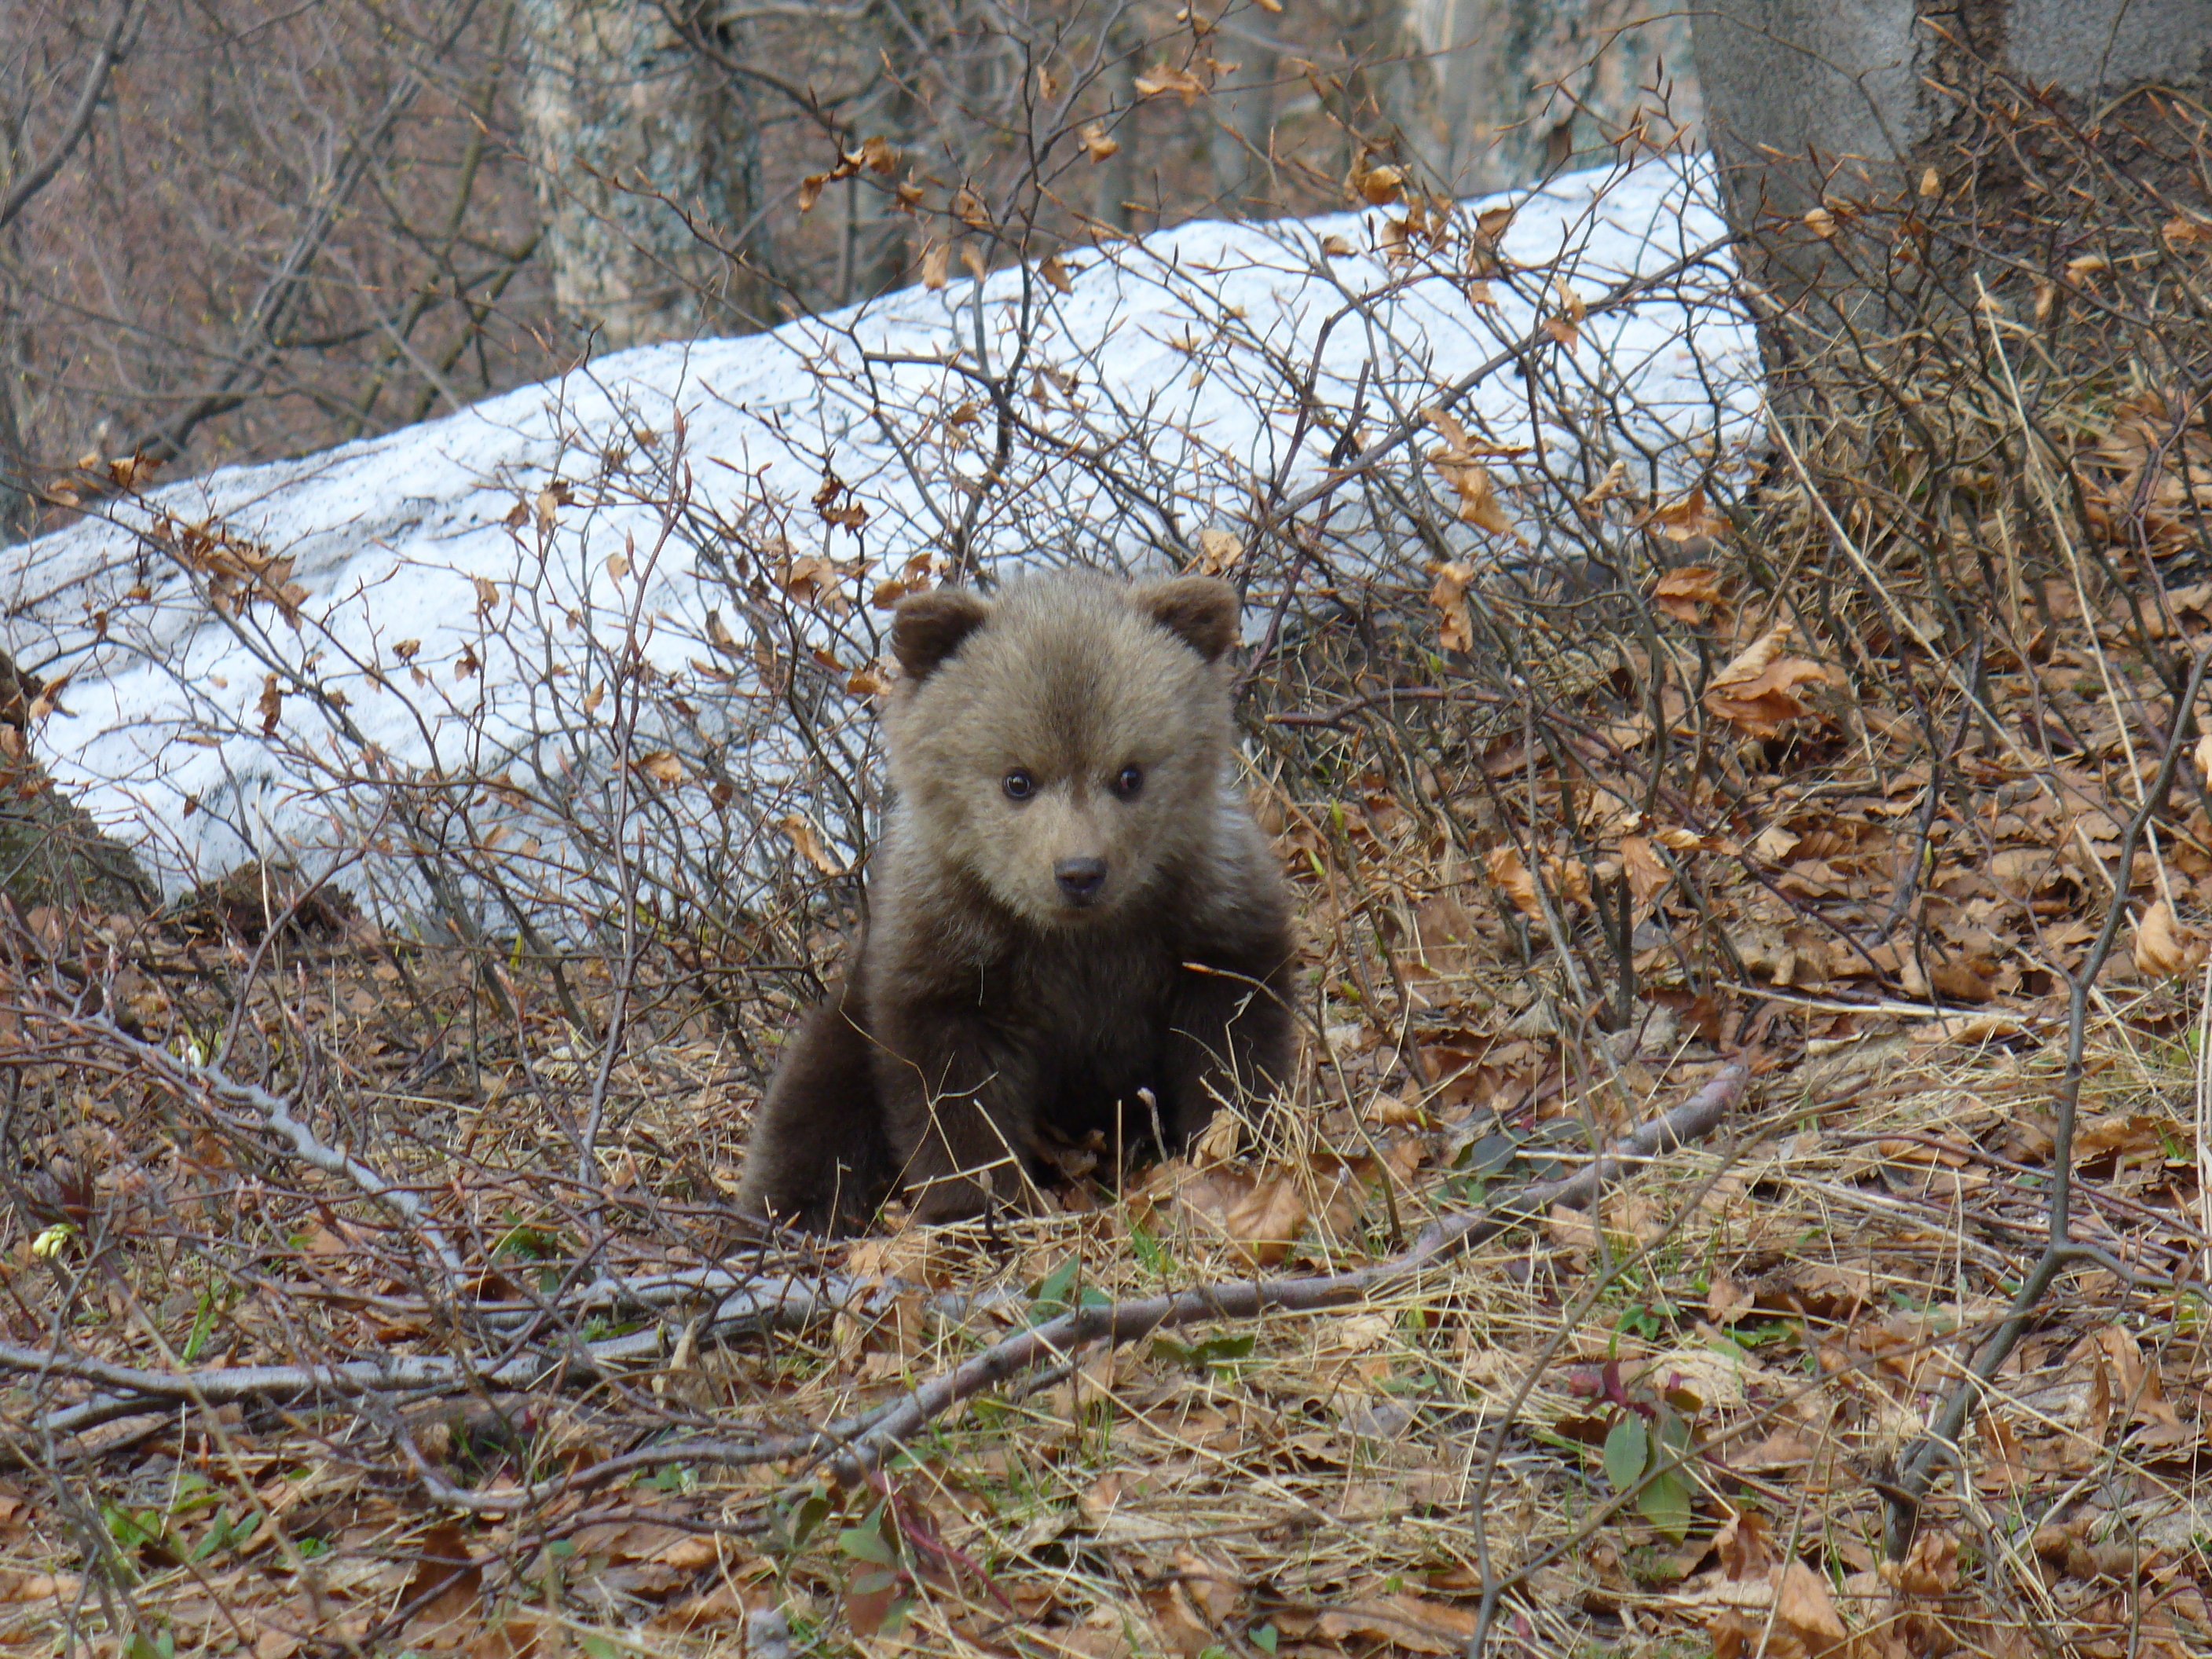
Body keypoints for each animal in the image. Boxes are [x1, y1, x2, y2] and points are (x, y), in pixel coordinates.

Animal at [734, 570, 1298, 1233]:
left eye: (1130, 774)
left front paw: (1236, 1147)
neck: (1077, 939)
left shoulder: (1206, 919)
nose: (1079, 872)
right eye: (1018, 780)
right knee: (813, 1113)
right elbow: (955, 1099)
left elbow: (1232, 1047)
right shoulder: (951, 959)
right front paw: (982, 1206)